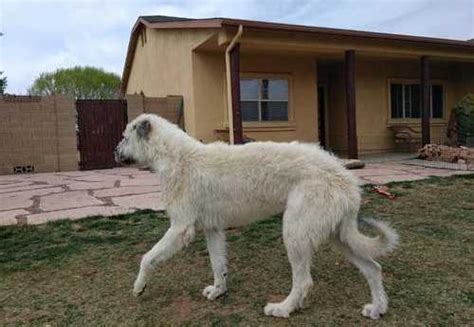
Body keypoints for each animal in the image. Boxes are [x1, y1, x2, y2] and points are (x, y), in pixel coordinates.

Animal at [115, 113, 396, 320]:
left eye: (125, 138)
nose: (114, 152)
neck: (174, 156)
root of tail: (344, 175)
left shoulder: (180, 228)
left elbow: (147, 258)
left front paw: (139, 286)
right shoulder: (212, 230)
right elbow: (218, 265)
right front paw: (218, 291)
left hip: (295, 233)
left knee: (304, 281)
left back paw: (283, 308)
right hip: (337, 235)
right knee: (373, 268)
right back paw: (377, 308)